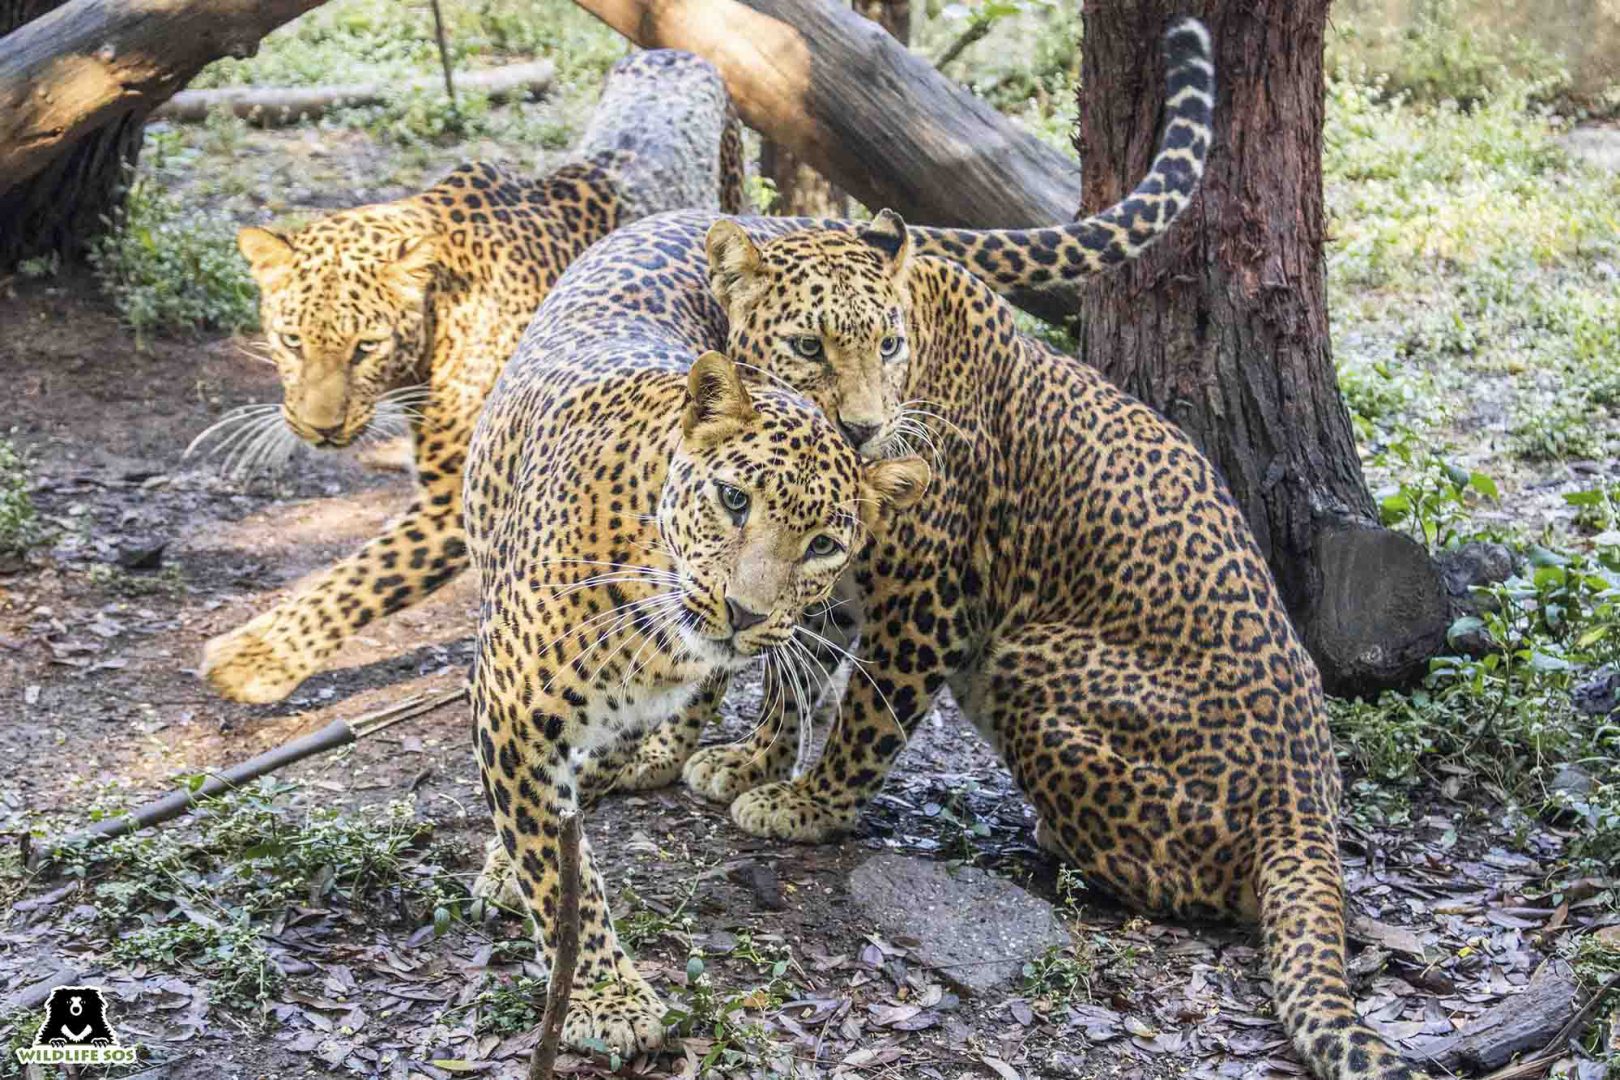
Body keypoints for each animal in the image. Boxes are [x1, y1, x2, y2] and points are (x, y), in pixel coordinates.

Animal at [197, 50, 745, 705]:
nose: (319, 429)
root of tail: (674, 51)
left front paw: (255, 657)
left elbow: (361, 577)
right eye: (291, 341)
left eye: (365, 348)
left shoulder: (455, 499)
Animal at [463, 320, 933, 1055]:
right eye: (734, 501)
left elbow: (567, 823)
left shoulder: (619, 722)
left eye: (824, 545)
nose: (744, 613)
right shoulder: (512, 704)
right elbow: (555, 867)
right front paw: (605, 995)